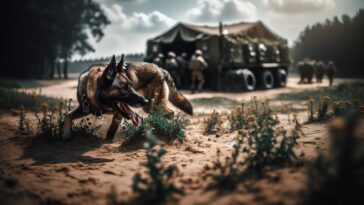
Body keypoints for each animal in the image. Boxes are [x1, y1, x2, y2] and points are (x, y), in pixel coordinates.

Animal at [61, 54, 193, 141]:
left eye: (131, 85)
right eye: (124, 88)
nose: (145, 101)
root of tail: (160, 68)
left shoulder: (118, 114)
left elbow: (111, 131)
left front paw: (107, 142)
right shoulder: (86, 108)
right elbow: (68, 115)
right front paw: (66, 133)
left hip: (152, 106)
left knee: (169, 113)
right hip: (151, 107)